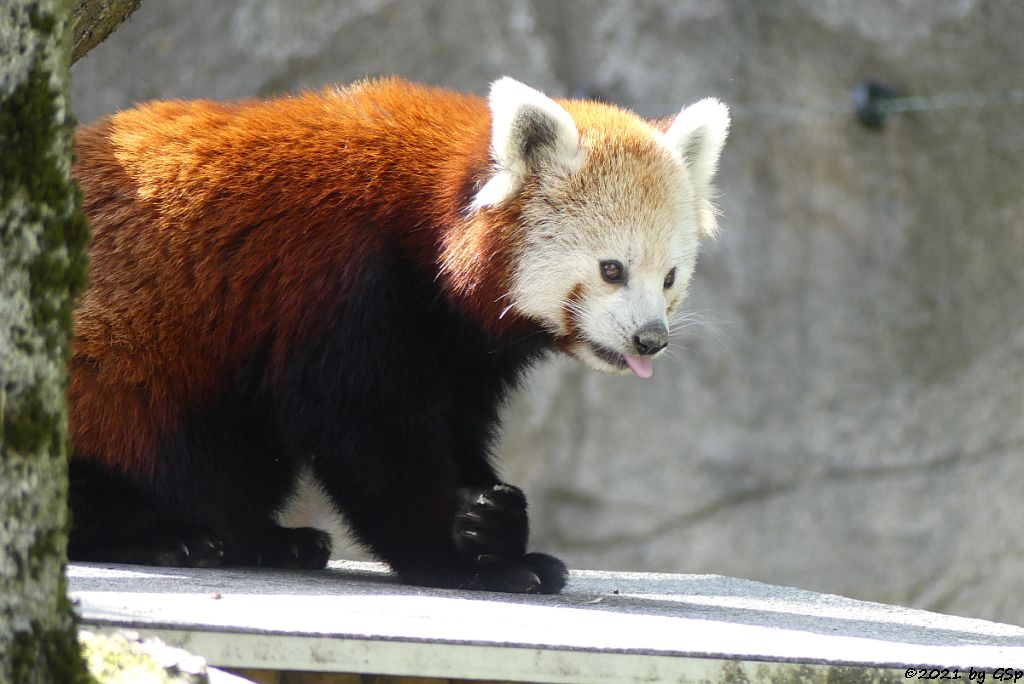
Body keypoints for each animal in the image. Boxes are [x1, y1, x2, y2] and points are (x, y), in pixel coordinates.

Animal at [66, 76, 729, 593]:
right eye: (611, 270)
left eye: (669, 278)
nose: (650, 339)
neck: (427, 222)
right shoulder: (345, 280)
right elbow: (366, 430)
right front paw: (461, 561)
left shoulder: (456, 342)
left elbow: (454, 425)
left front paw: (496, 526)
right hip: (107, 359)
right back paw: (159, 534)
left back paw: (266, 539)